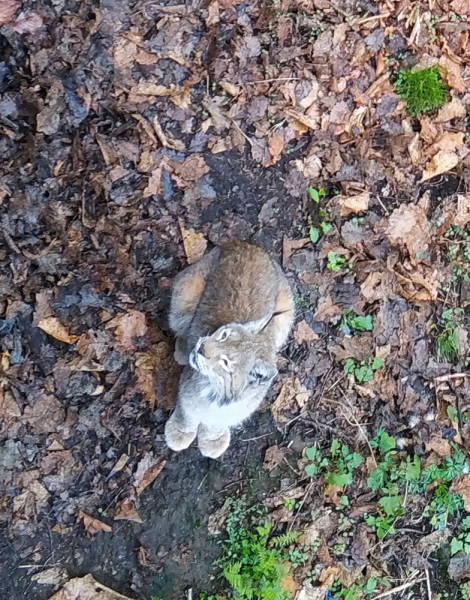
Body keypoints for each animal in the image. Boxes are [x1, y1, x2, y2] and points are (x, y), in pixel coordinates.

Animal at [163, 241, 292, 458]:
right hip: (186, 290)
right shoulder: (188, 389)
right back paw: (183, 348)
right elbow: (187, 411)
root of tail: (246, 244)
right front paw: (180, 432)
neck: (216, 393)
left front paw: (212, 439)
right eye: (223, 335)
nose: (201, 348)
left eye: (226, 363)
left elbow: (215, 422)